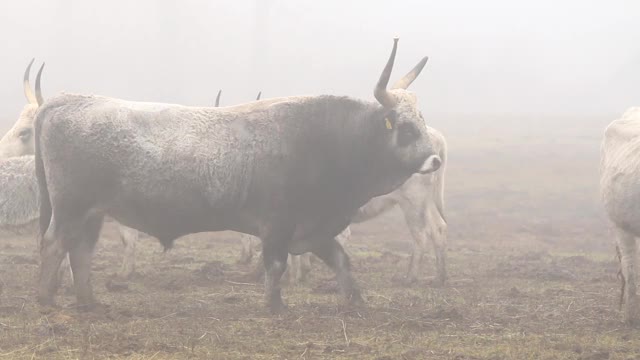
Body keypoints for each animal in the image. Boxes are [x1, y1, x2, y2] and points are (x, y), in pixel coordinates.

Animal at [33, 38, 440, 312]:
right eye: (406, 128)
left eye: (423, 121)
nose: (435, 160)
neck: (327, 139)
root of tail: (67, 100)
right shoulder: (278, 224)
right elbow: (275, 265)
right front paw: (275, 307)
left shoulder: (315, 226)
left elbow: (342, 261)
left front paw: (355, 301)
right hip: (71, 207)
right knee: (55, 245)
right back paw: (47, 300)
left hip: (92, 213)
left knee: (80, 251)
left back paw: (88, 302)